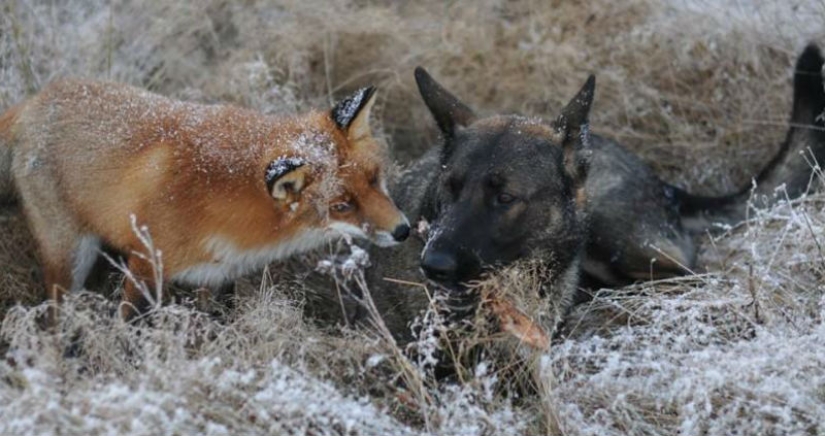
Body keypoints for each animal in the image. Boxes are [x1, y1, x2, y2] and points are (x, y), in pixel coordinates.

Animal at [0, 80, 410, 319]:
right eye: (342, 205)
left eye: (375, 180)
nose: (404, 231)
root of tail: (36, 100)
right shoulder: (147, 262)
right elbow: (128, 323)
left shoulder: (219, 275)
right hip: (69, 258)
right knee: (56, 315)